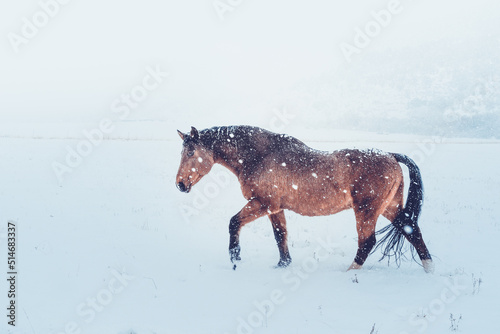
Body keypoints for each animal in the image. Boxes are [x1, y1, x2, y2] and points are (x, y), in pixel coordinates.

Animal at [177, 125, 434, 274]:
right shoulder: (274, 208)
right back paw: (429, 269)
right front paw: (283, 265)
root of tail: (391, 156)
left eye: (190, 152)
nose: (180, 184)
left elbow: (234, 222)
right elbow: (280, 235)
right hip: (389, 208)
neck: (259, 156)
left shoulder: (262, 204)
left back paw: (350, 271)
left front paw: (235, 257)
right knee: (412, 231)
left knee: (367, 241)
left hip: (367, 210)